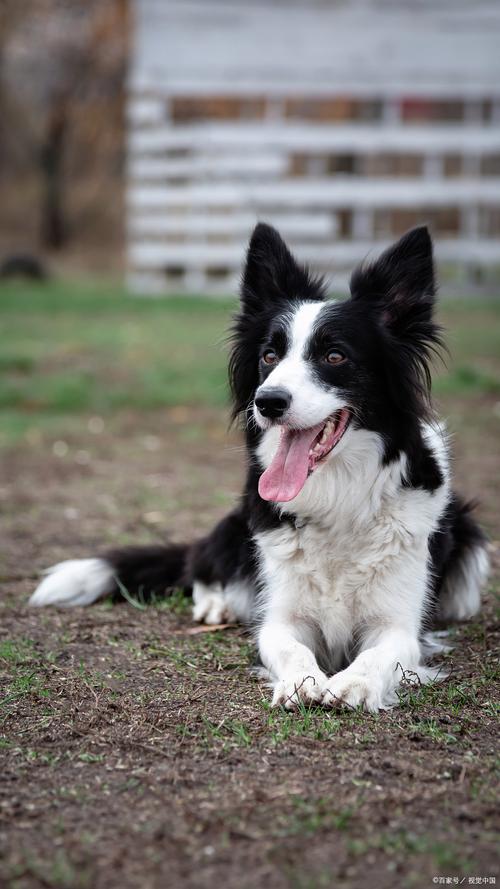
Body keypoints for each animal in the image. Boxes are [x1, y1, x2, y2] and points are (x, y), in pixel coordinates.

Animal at [30, 225, 488, 712]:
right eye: (270, 355)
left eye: (335, 356)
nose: (267, 401)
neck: (338, 497)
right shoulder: (281, 615)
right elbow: (289, 645)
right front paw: (303, 680)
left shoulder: (399, 624)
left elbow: (381, 654)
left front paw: (355, 684)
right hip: (239, 521)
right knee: (201, 560)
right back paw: (217, 604)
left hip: (469, 543)